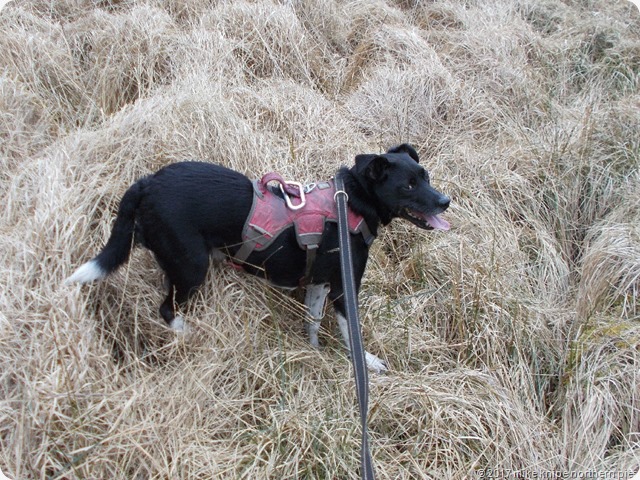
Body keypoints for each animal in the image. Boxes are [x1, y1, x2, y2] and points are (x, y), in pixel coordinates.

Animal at [67, 142, 450, 372]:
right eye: (409, 185)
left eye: (426, 176)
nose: (446, 201)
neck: (351, 204)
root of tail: (147, 184)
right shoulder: (344, 288)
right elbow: (351, 333)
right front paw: (367, 363)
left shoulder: (319, 284)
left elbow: (312, 322)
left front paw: (313, 351)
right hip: (191, 266)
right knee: (166, 309)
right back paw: (187, 331)